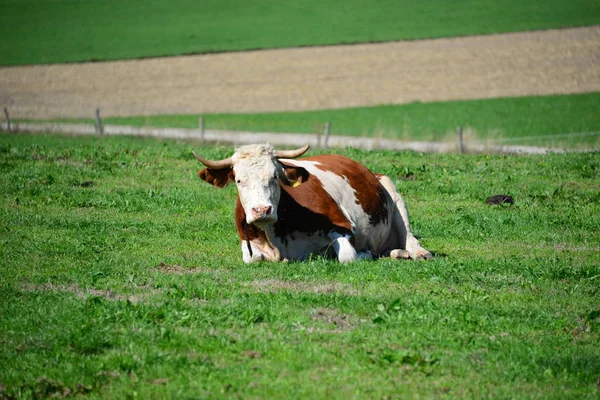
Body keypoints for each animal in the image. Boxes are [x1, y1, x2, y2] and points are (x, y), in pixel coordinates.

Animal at [195, 143, 434, 262]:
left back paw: (417, 253)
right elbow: (251, 259)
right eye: (239, 180)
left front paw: (365, 253)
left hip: (394, 193)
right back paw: (396, 252)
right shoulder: (247, 240)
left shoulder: (344, 226)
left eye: (275, 176)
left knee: (409, 236)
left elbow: (348, 257)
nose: (262, 210)